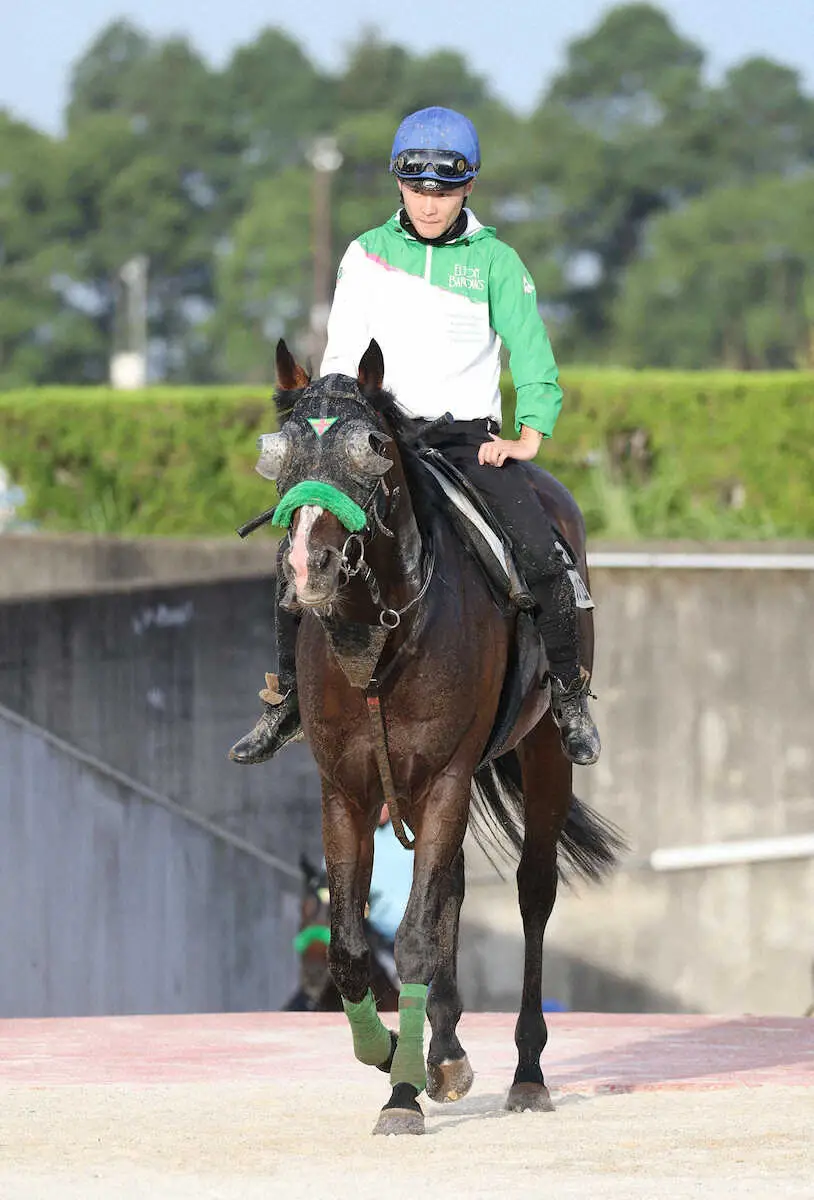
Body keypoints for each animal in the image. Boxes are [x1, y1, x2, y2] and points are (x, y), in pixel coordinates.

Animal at [261, 338, 624, 1132]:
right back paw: (446, 1051)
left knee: (533, 892)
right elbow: (351, 946)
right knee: (451, 888)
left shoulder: (448, 773)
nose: (307, 565)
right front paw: (394, 1051)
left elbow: (417, 938)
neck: (380, 631)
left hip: (542, 750)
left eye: (371, 448)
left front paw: (401, 1094)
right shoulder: (347, 790)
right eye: (279, 452)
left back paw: (526, 1073)